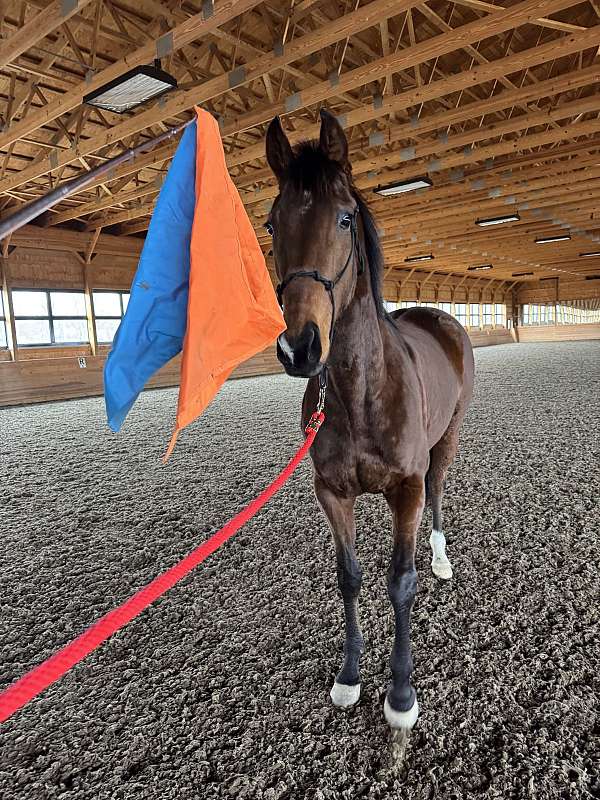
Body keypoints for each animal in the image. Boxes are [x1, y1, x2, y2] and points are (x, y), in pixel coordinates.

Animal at [265, 109, 474, 738]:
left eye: (344, 217)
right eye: (270, 223)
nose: (301, 347)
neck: (361, 392)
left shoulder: (404, 488)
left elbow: (400, 582)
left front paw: (400, 695)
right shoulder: (332, 492)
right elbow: (350, 576)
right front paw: (350, 676)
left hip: (446, 443)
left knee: (437, 491)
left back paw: (441, 557)